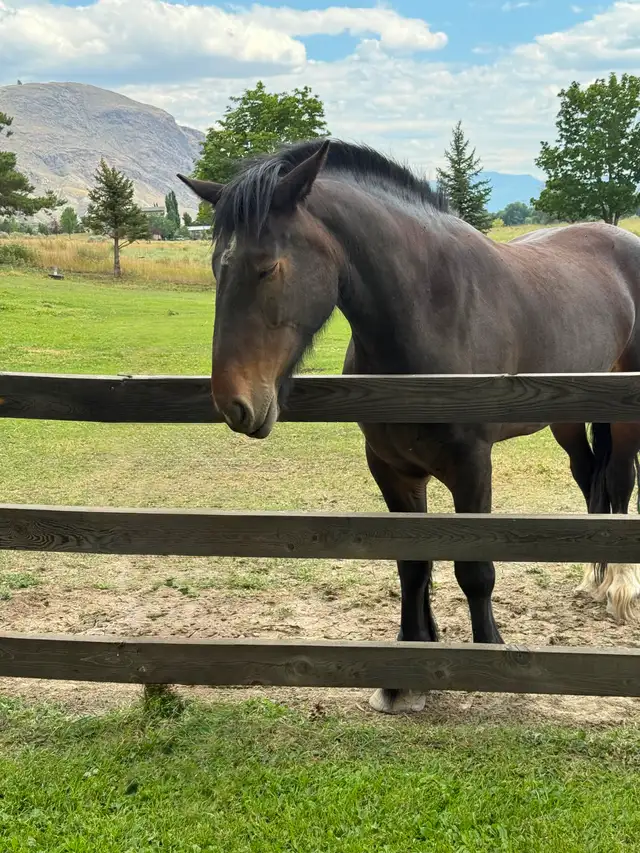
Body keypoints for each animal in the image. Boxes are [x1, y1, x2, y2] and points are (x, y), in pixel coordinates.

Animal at [178, 138, 640, 715]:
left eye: (268, 268)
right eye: (217, 268)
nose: (234, 403)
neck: (432, 315)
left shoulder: (472, 467)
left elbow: (475, 569)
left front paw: (488, 659)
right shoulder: (393, 470)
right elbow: (412, 563)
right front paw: (407, 675)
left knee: (618, 481)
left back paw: (620, 589)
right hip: (568, 418)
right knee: (589, 477)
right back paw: (594, 579)